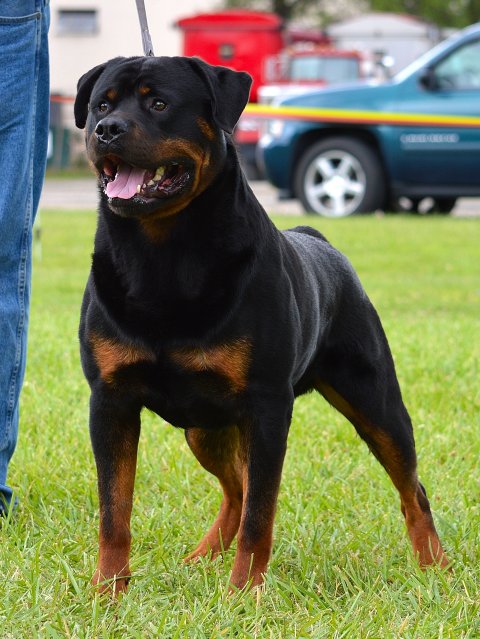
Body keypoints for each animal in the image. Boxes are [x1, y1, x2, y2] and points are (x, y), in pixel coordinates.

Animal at [74, 55, 447, 595]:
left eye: (159, 103)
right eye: (101, 105)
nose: (107, 129)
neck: (161, 254)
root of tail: (317, 236)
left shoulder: (268, 405)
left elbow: (260, 514)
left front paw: (244, 593)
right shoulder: (110, 399)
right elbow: (114, 511)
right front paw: (108, 592)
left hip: (376, 403)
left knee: (410, 487)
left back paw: (435, 566)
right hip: (205, 427)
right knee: (235, 487)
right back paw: (202, 556)